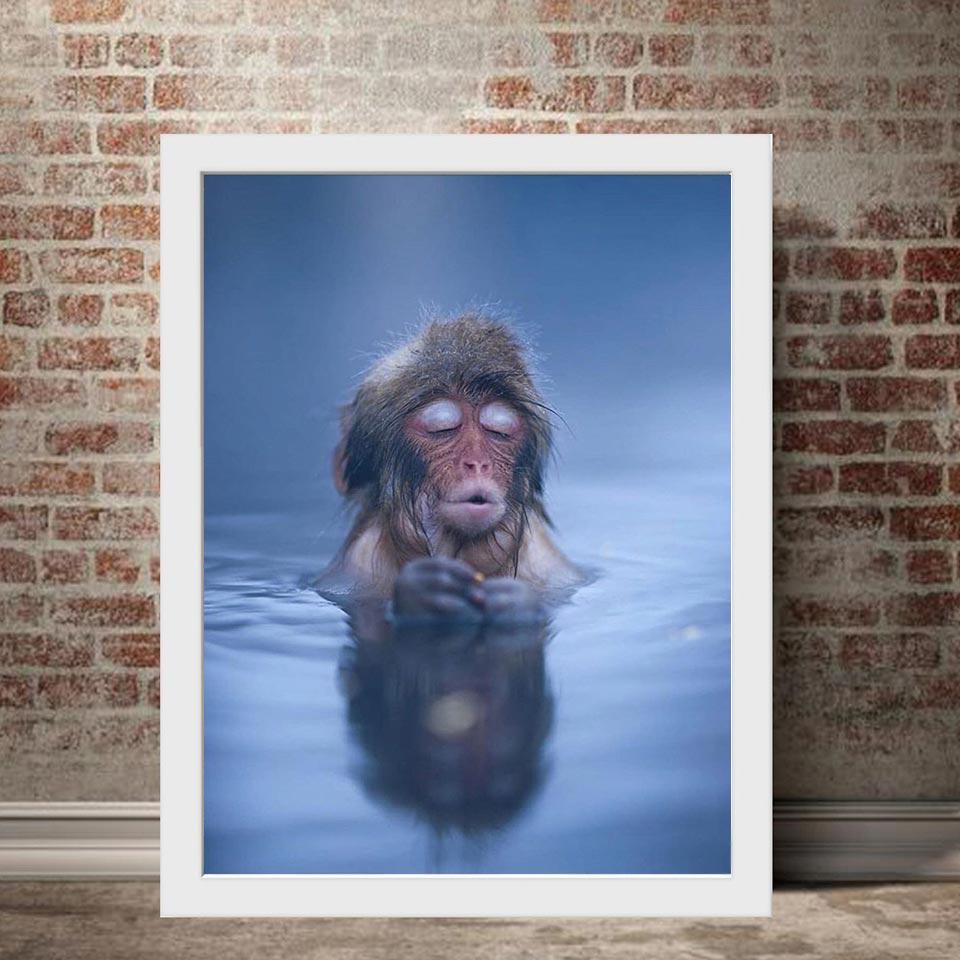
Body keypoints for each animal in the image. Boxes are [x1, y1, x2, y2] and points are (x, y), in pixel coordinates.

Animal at [317, 313, 583, 623]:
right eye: (442, 429)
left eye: (499, 432)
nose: (478, 463)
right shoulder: (357, 567)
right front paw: (423, 592)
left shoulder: (547, 564)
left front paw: (515, 602)